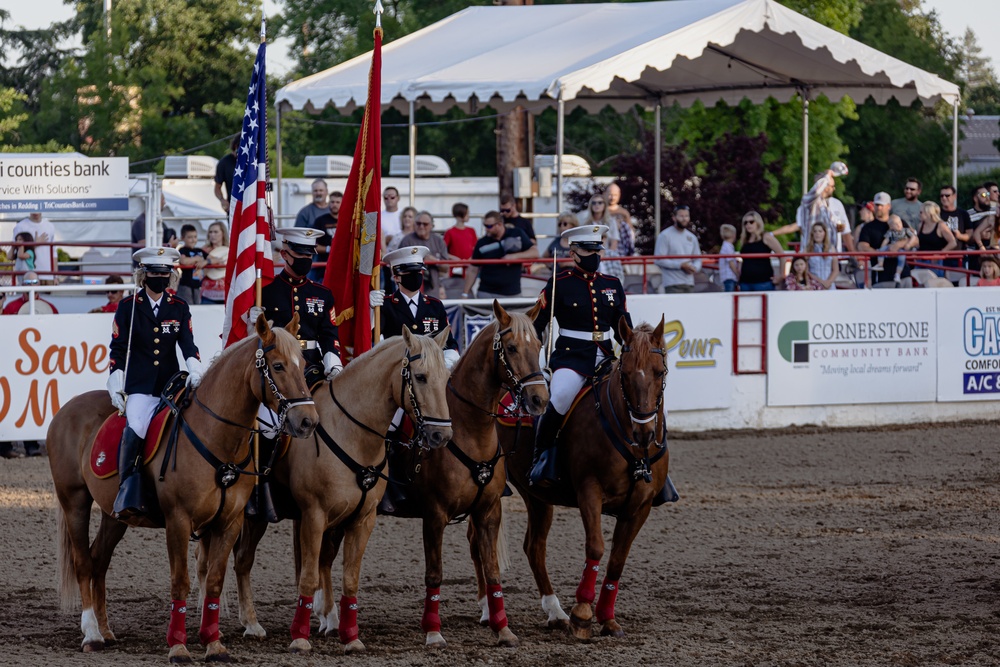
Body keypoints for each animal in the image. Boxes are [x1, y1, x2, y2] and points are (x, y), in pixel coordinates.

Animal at [49, 318, 316, 664]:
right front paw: (178, 646)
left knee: (99, 560)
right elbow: (180, 582)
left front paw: (214, 644)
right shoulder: (178, 520)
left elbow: (214, 581)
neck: (216, 437)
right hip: (75, 502)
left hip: (114, 516)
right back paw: (92, 634)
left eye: (304, 364)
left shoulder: (229, 523)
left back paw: (105, 630)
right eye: (279, 365)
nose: (308, 421)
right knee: (83, 562)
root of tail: (66, 409)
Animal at [232, 328, 456, 652]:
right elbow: (308, 576)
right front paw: (299, 637)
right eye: (421, 377)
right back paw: (251, 623)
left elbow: (349, 578)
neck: (352, 434)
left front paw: (351, 637)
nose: (442, 435)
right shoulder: (314, 516)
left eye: (446, 377)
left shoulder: (362, 519)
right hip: (254, 515)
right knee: (241, 561)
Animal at [316, 302, 548, 648]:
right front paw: (433, 631)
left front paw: (503, 628)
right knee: (325, 556)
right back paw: (328, 617)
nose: (539, 399)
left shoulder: (487, 511)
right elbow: (434, 573)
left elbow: (492, 569)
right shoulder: (435, 514)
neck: (469, 431)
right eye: (511, 348)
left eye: (539, 345)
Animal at [500, 318, 672, 640]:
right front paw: (582, 613)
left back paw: (554, 613)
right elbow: (596, 547)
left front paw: (607, 618)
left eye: (660, 371)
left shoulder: (639, 506)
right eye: (625, 374)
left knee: (534, 547)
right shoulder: (589, 491)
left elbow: (618, 559)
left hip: (536, 496)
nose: (644, 433)